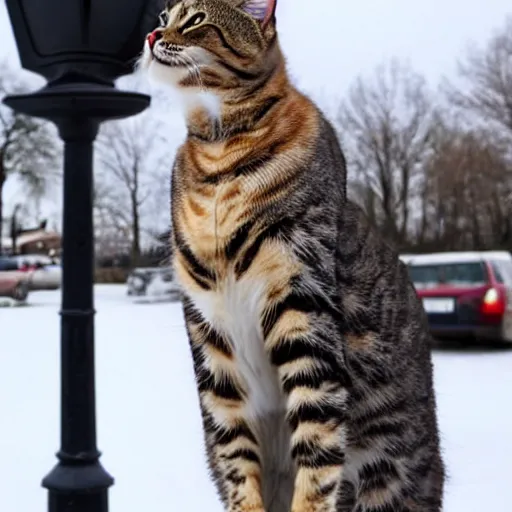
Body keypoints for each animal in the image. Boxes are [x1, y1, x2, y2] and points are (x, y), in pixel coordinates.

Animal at [139, 2, 444, 510]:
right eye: (164, 15)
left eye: (196, 19)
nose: (150, 34)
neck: (219, 148)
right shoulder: (210, 328)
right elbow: (233, 448)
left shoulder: (302, 294)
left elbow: (317, 437)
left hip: (394, 474)